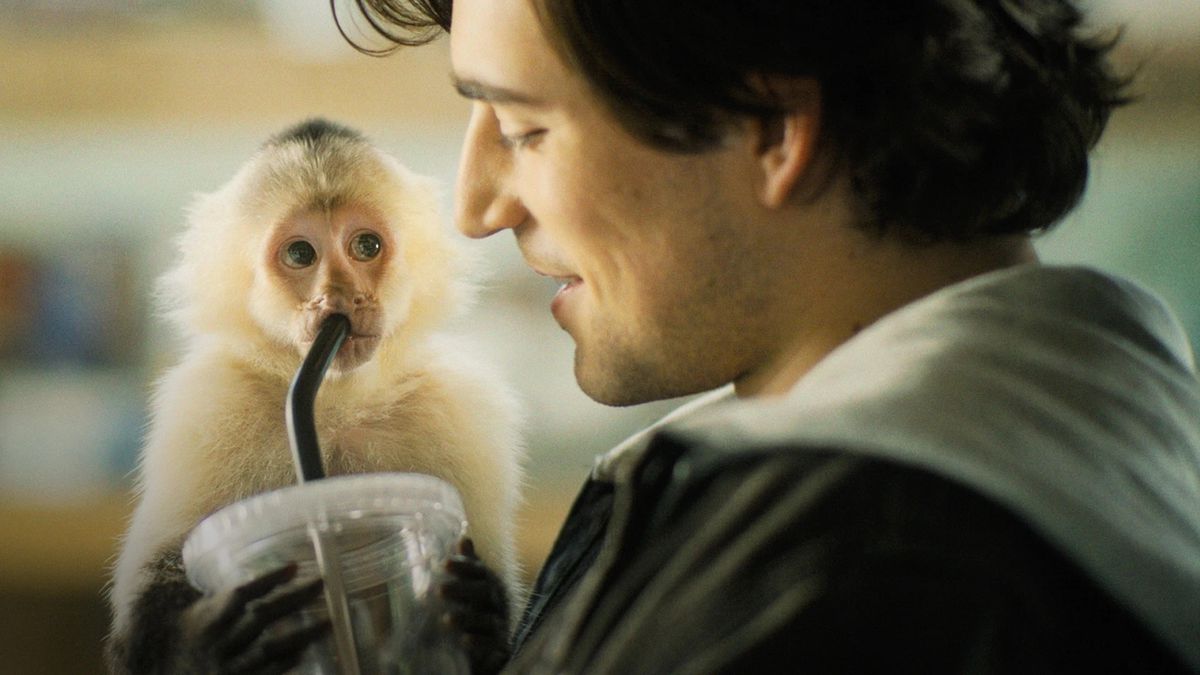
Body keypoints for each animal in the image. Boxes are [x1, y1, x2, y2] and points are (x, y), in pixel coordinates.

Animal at [105, 119, 524, 673]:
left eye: (365, 246)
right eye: (301, 254)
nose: (339, 296)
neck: (332, 404)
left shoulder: (458, 408)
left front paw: (479, 614)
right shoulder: (206, 405)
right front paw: (201, 638)